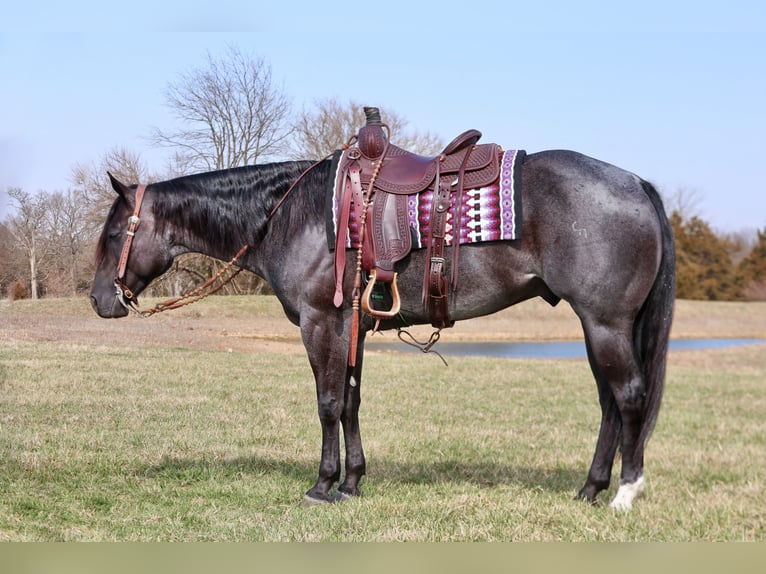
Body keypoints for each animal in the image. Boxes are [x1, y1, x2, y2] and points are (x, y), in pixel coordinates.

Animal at [91, 146, 680, 510]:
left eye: (117, 231)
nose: (99, 300)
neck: (292, 214)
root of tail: (635, 182)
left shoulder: (322, 323)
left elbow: (328, 403)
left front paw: (322, 484)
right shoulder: (352, 327)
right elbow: (350, 402)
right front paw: (352, 482)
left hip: (604, 324)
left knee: (629, 397)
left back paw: (625, 492)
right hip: (598, 327)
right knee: (610, 403)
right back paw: (590, 489)